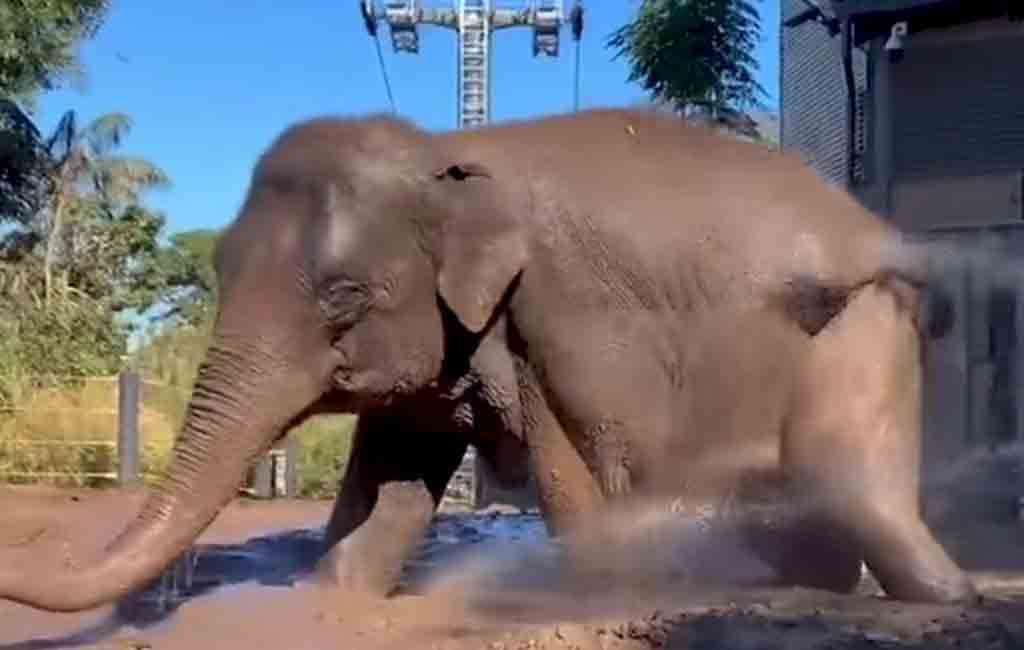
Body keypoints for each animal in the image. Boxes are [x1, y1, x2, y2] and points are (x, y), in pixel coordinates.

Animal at [0, 107, 978, 612]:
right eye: (218, 268)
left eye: (343, 295)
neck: (443, 155)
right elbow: (390, 476)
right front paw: (335, 602)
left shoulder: (562, 312)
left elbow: (579, 470)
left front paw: (597, 599)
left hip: (860, 322)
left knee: (844, 471)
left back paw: (950, 597)